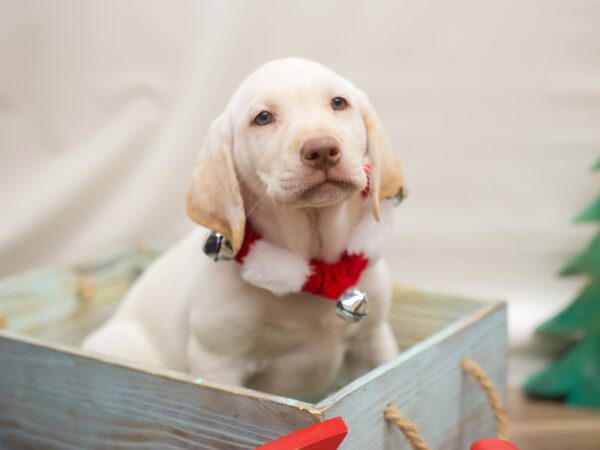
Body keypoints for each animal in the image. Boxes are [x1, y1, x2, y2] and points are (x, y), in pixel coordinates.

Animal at [83, 58, 404, 400]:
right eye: (262, 118)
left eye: (339, 103)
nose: (322, 150)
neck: (315, 266)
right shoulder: (219, 363)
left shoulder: (375, 341)